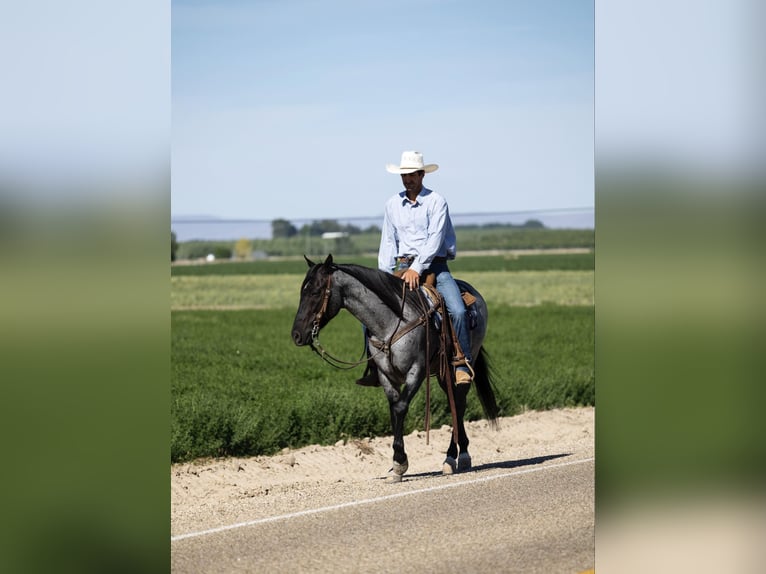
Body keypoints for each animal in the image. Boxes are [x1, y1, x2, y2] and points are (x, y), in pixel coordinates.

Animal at [291, 254, 500, 483]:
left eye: (316, 292)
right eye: (302, 291)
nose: (297, 334)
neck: (392, 322)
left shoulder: (416, 371)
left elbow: (400, 407)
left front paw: (400, 461)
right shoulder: (386, 375)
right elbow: (393, 408)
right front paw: (396, 465)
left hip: (457, 365)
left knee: (459, 402)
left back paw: (456, 456)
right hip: (442, 373)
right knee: (454, 402)